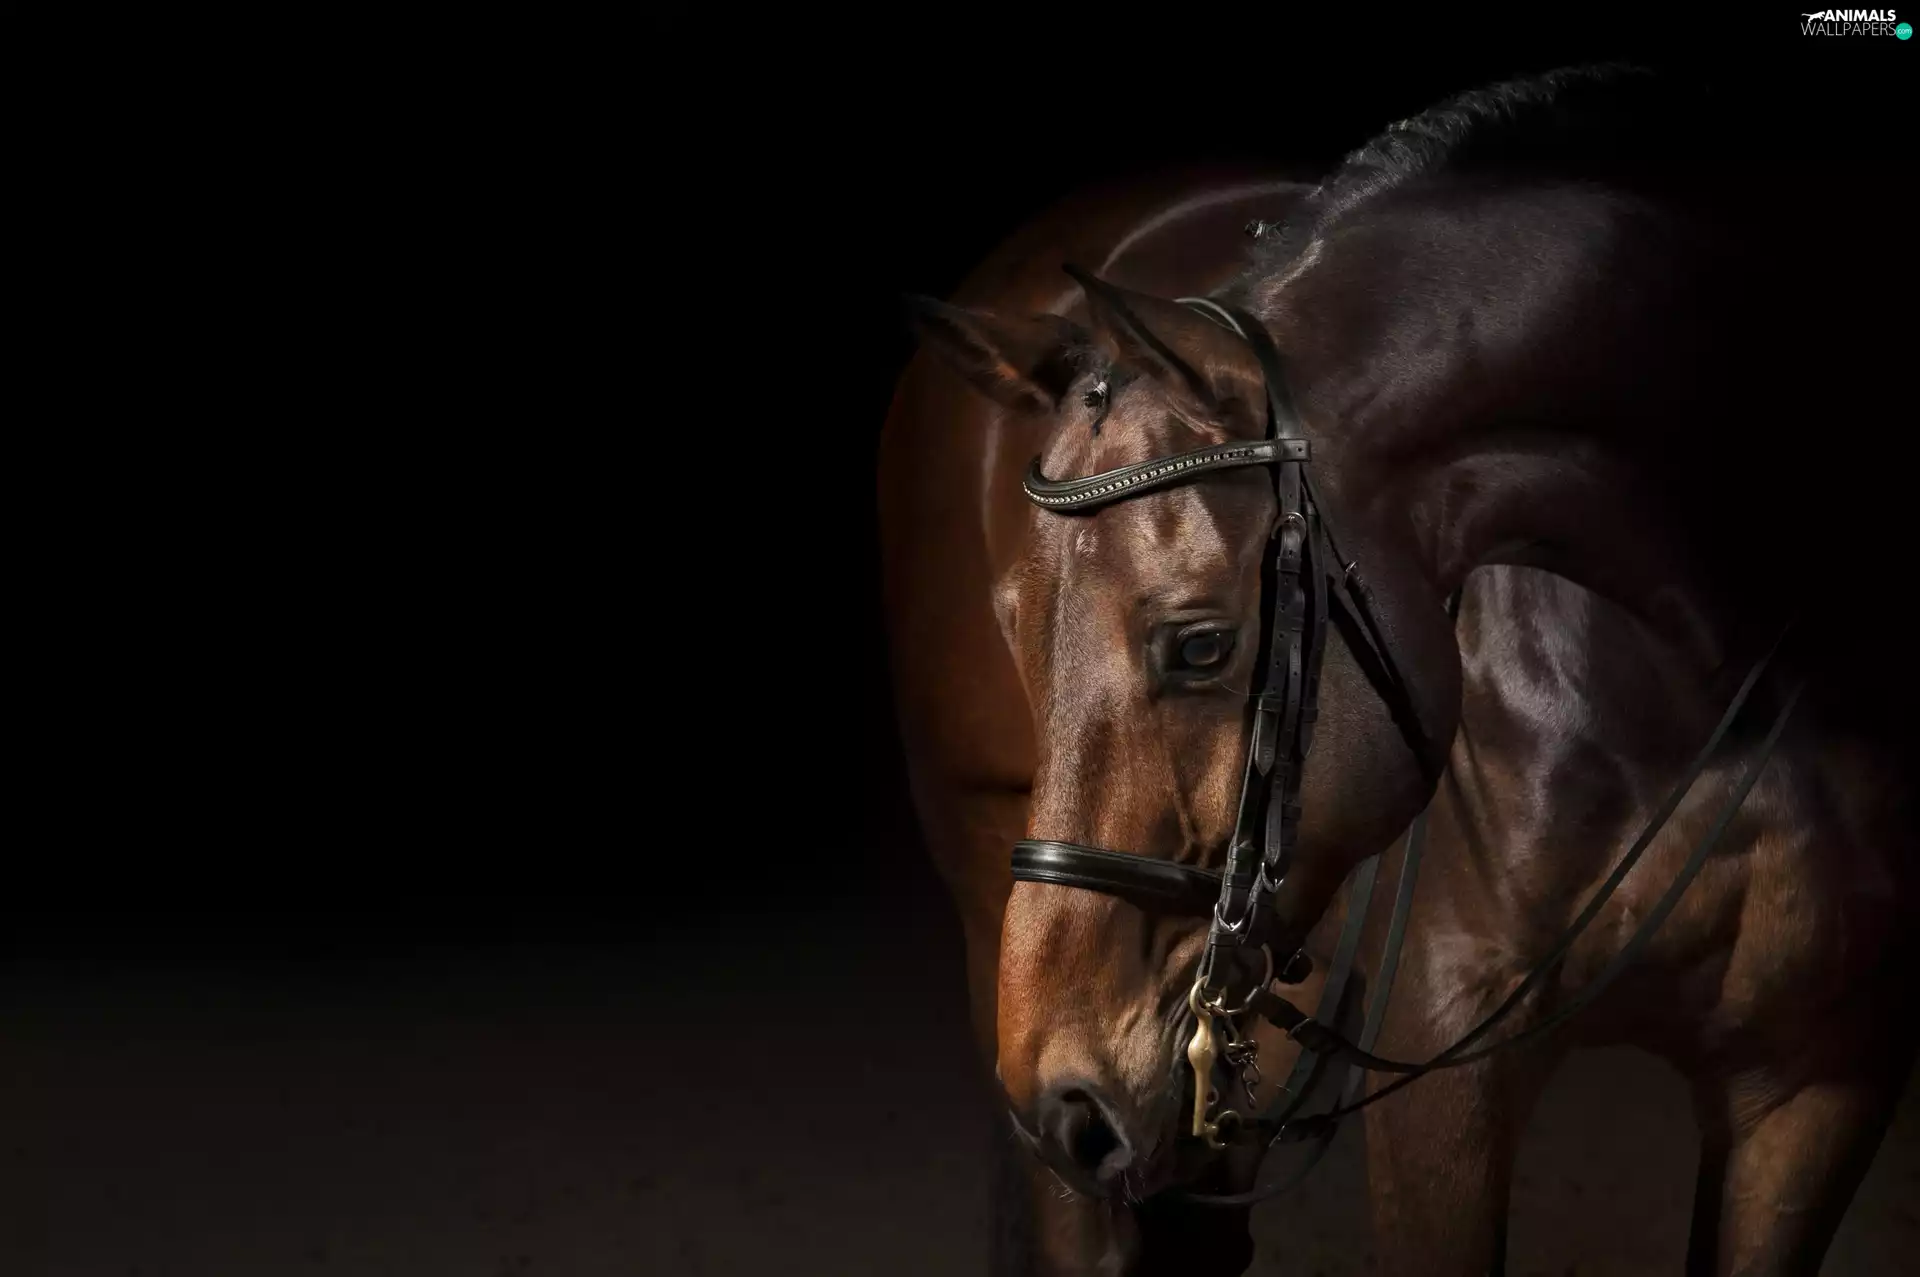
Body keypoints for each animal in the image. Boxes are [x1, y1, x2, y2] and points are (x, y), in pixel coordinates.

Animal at [877, 65, 1917, 1275]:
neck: (1699, 674)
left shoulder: (1817, 1082)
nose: (1064, 1088)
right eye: (1019, 625)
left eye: (1201, 643)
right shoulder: (1443, 1066)